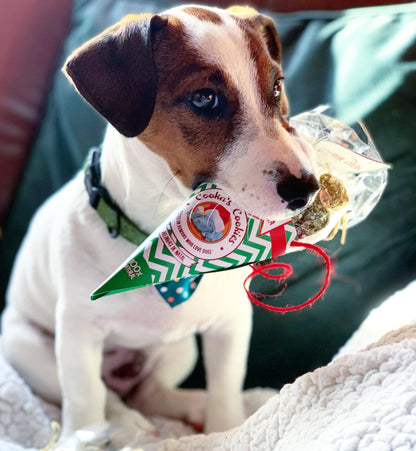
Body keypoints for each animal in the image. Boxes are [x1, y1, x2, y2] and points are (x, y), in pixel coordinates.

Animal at [0, 3, 318, 446]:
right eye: (204, 98)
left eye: (276, 88)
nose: (307, 188)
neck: (163, 237)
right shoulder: (77, 332)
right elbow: (84, 396)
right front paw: (81, 437)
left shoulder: (230, 324)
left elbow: (226, 387)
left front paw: (225, 428)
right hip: (27, 346)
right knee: (110, 397)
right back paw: (126, 426)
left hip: (179, 350)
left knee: (149, 391)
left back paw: (189, 406)